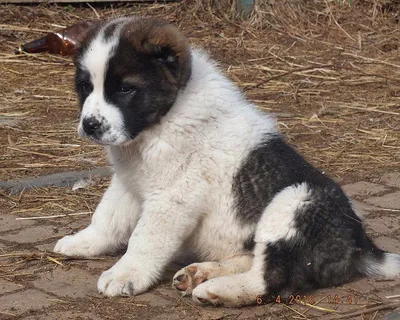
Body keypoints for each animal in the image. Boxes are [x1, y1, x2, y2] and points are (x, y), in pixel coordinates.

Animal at [54, 16, 400, 306]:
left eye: (126, 88)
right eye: (85, 87)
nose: (90, 125)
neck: (161, 122)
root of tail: (360, 244)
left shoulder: (172, 196)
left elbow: (145, 238)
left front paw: (125, 274)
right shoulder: (128, 180)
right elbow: (107, 217)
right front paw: (84, 242)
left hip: (297, 200)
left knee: (271, 280)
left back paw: (217, 289)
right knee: (253, 258)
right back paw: (200, 274)